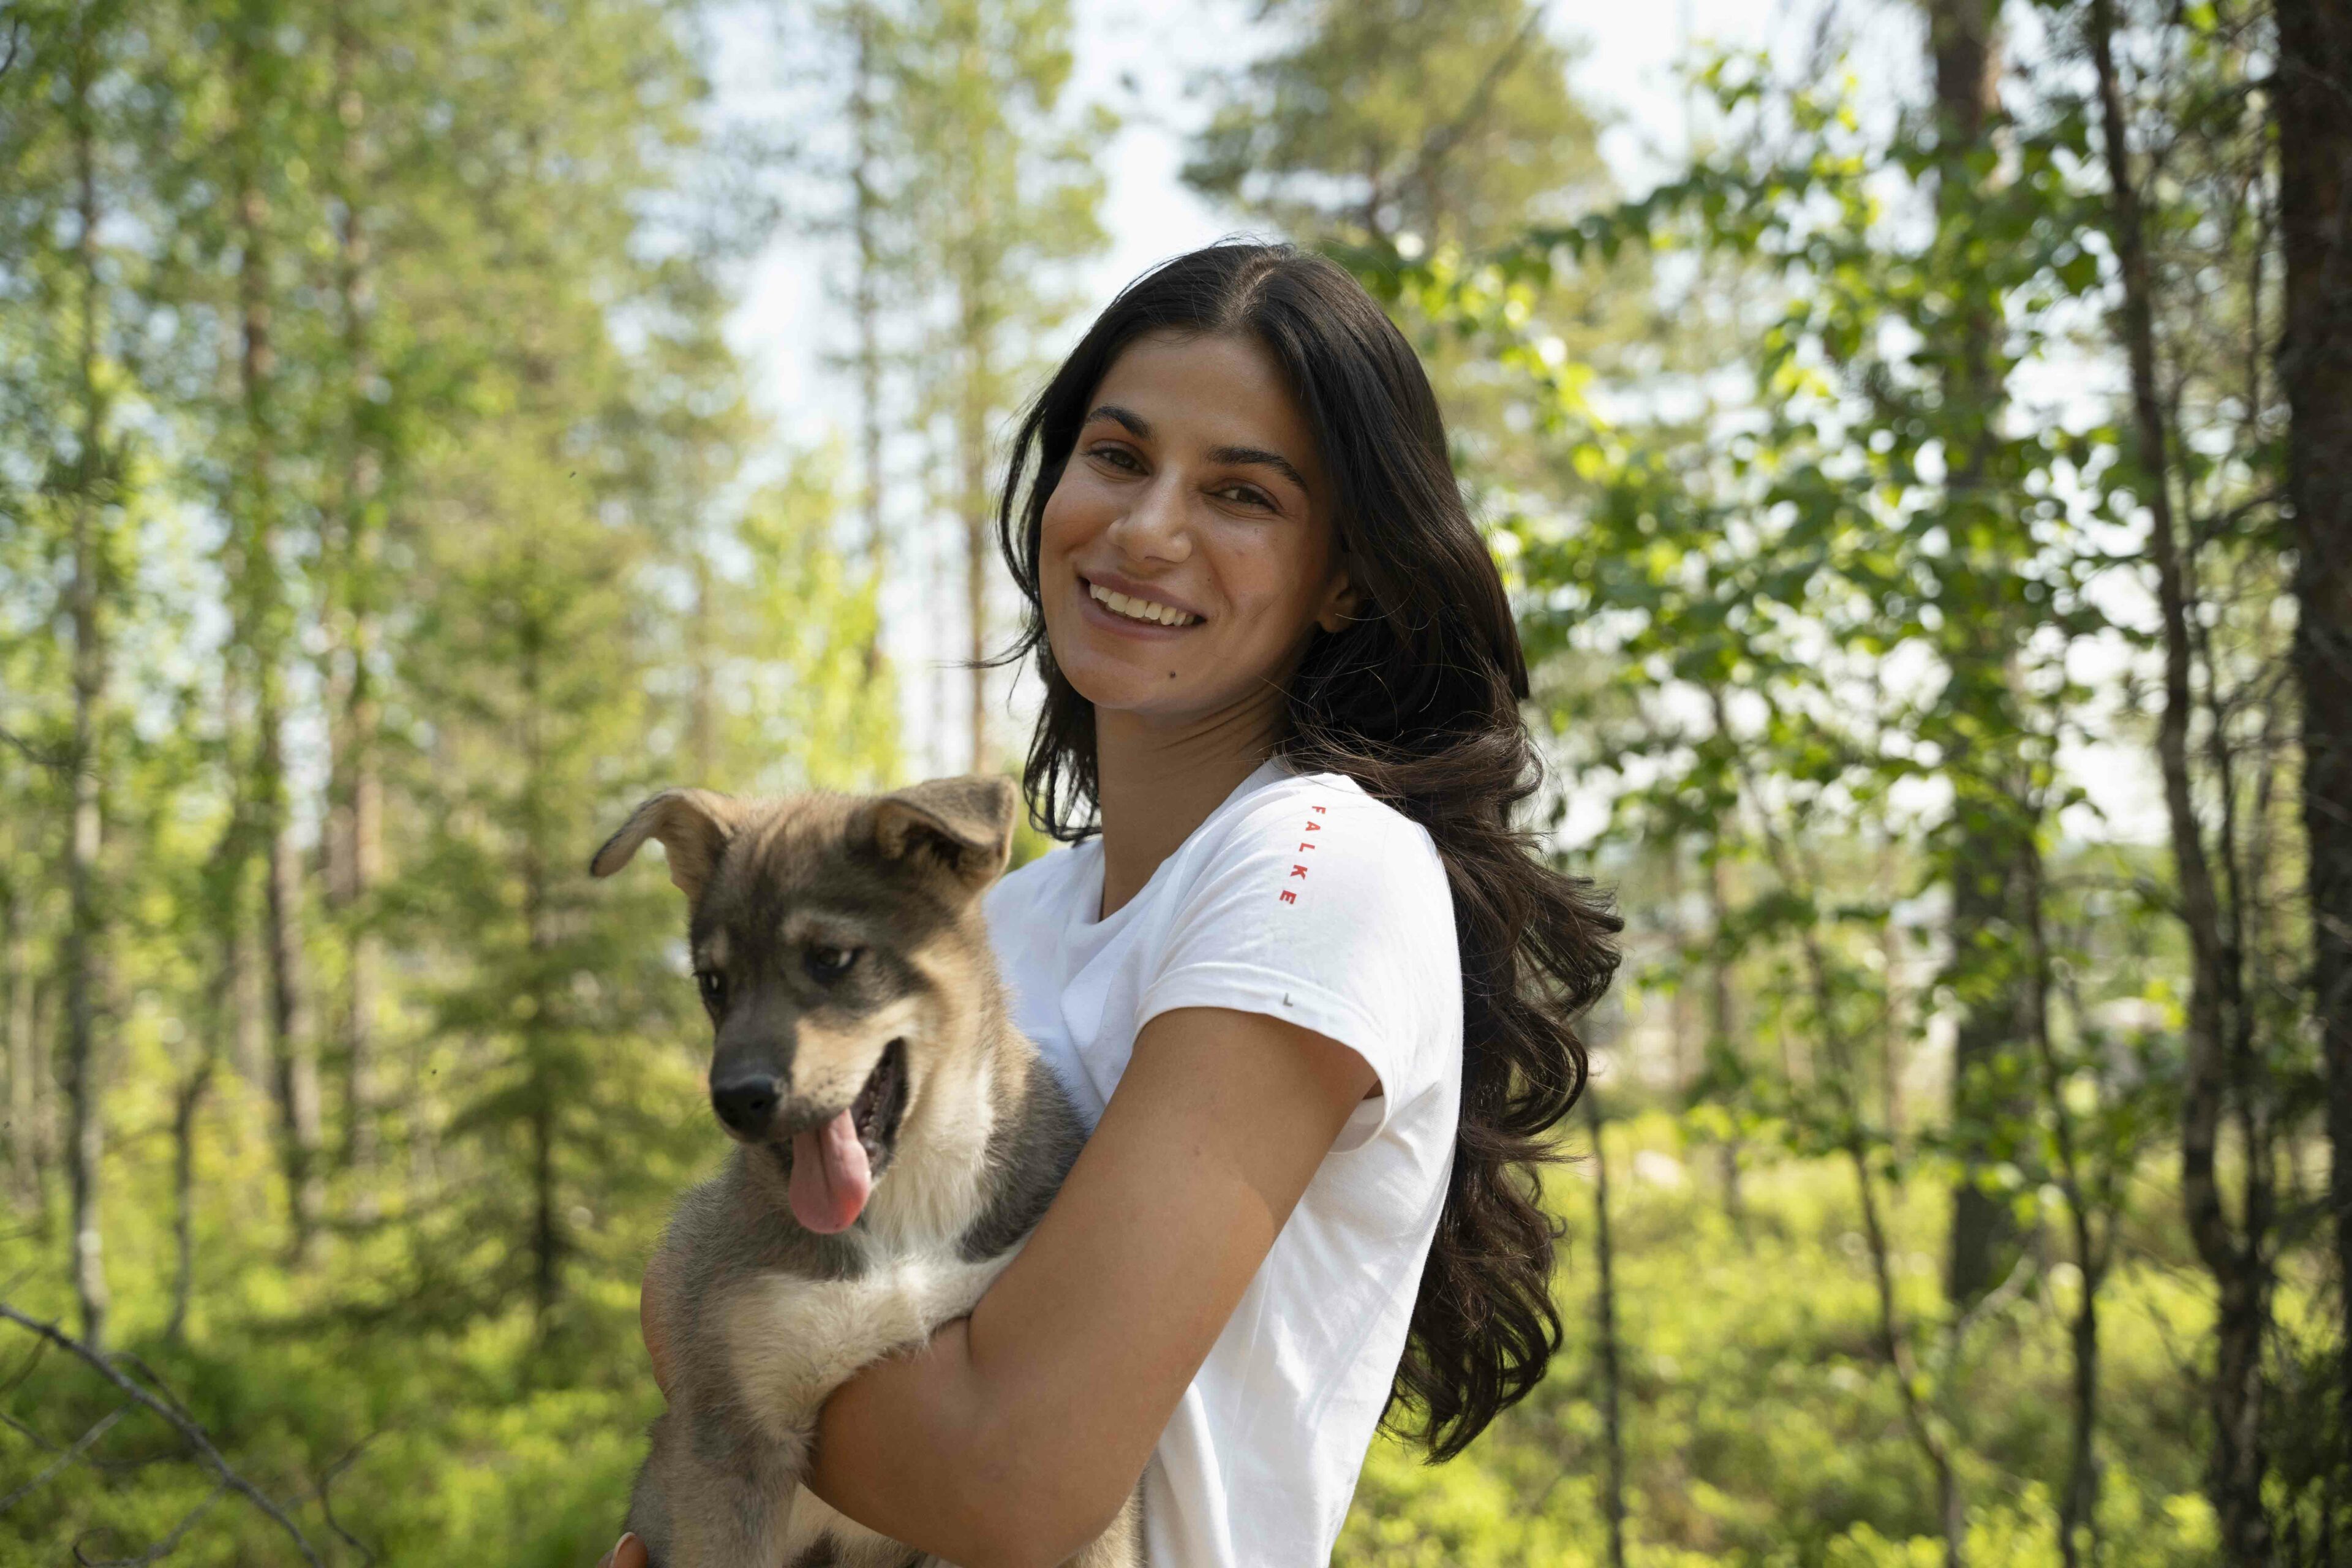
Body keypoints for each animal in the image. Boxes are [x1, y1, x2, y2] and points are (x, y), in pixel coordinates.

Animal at [588, 775, 1138, 1568]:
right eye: (714, 983)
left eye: (832, 958)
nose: (736, 1101)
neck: (907, 1213)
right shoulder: (729, 1441)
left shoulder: (1078, 1481)